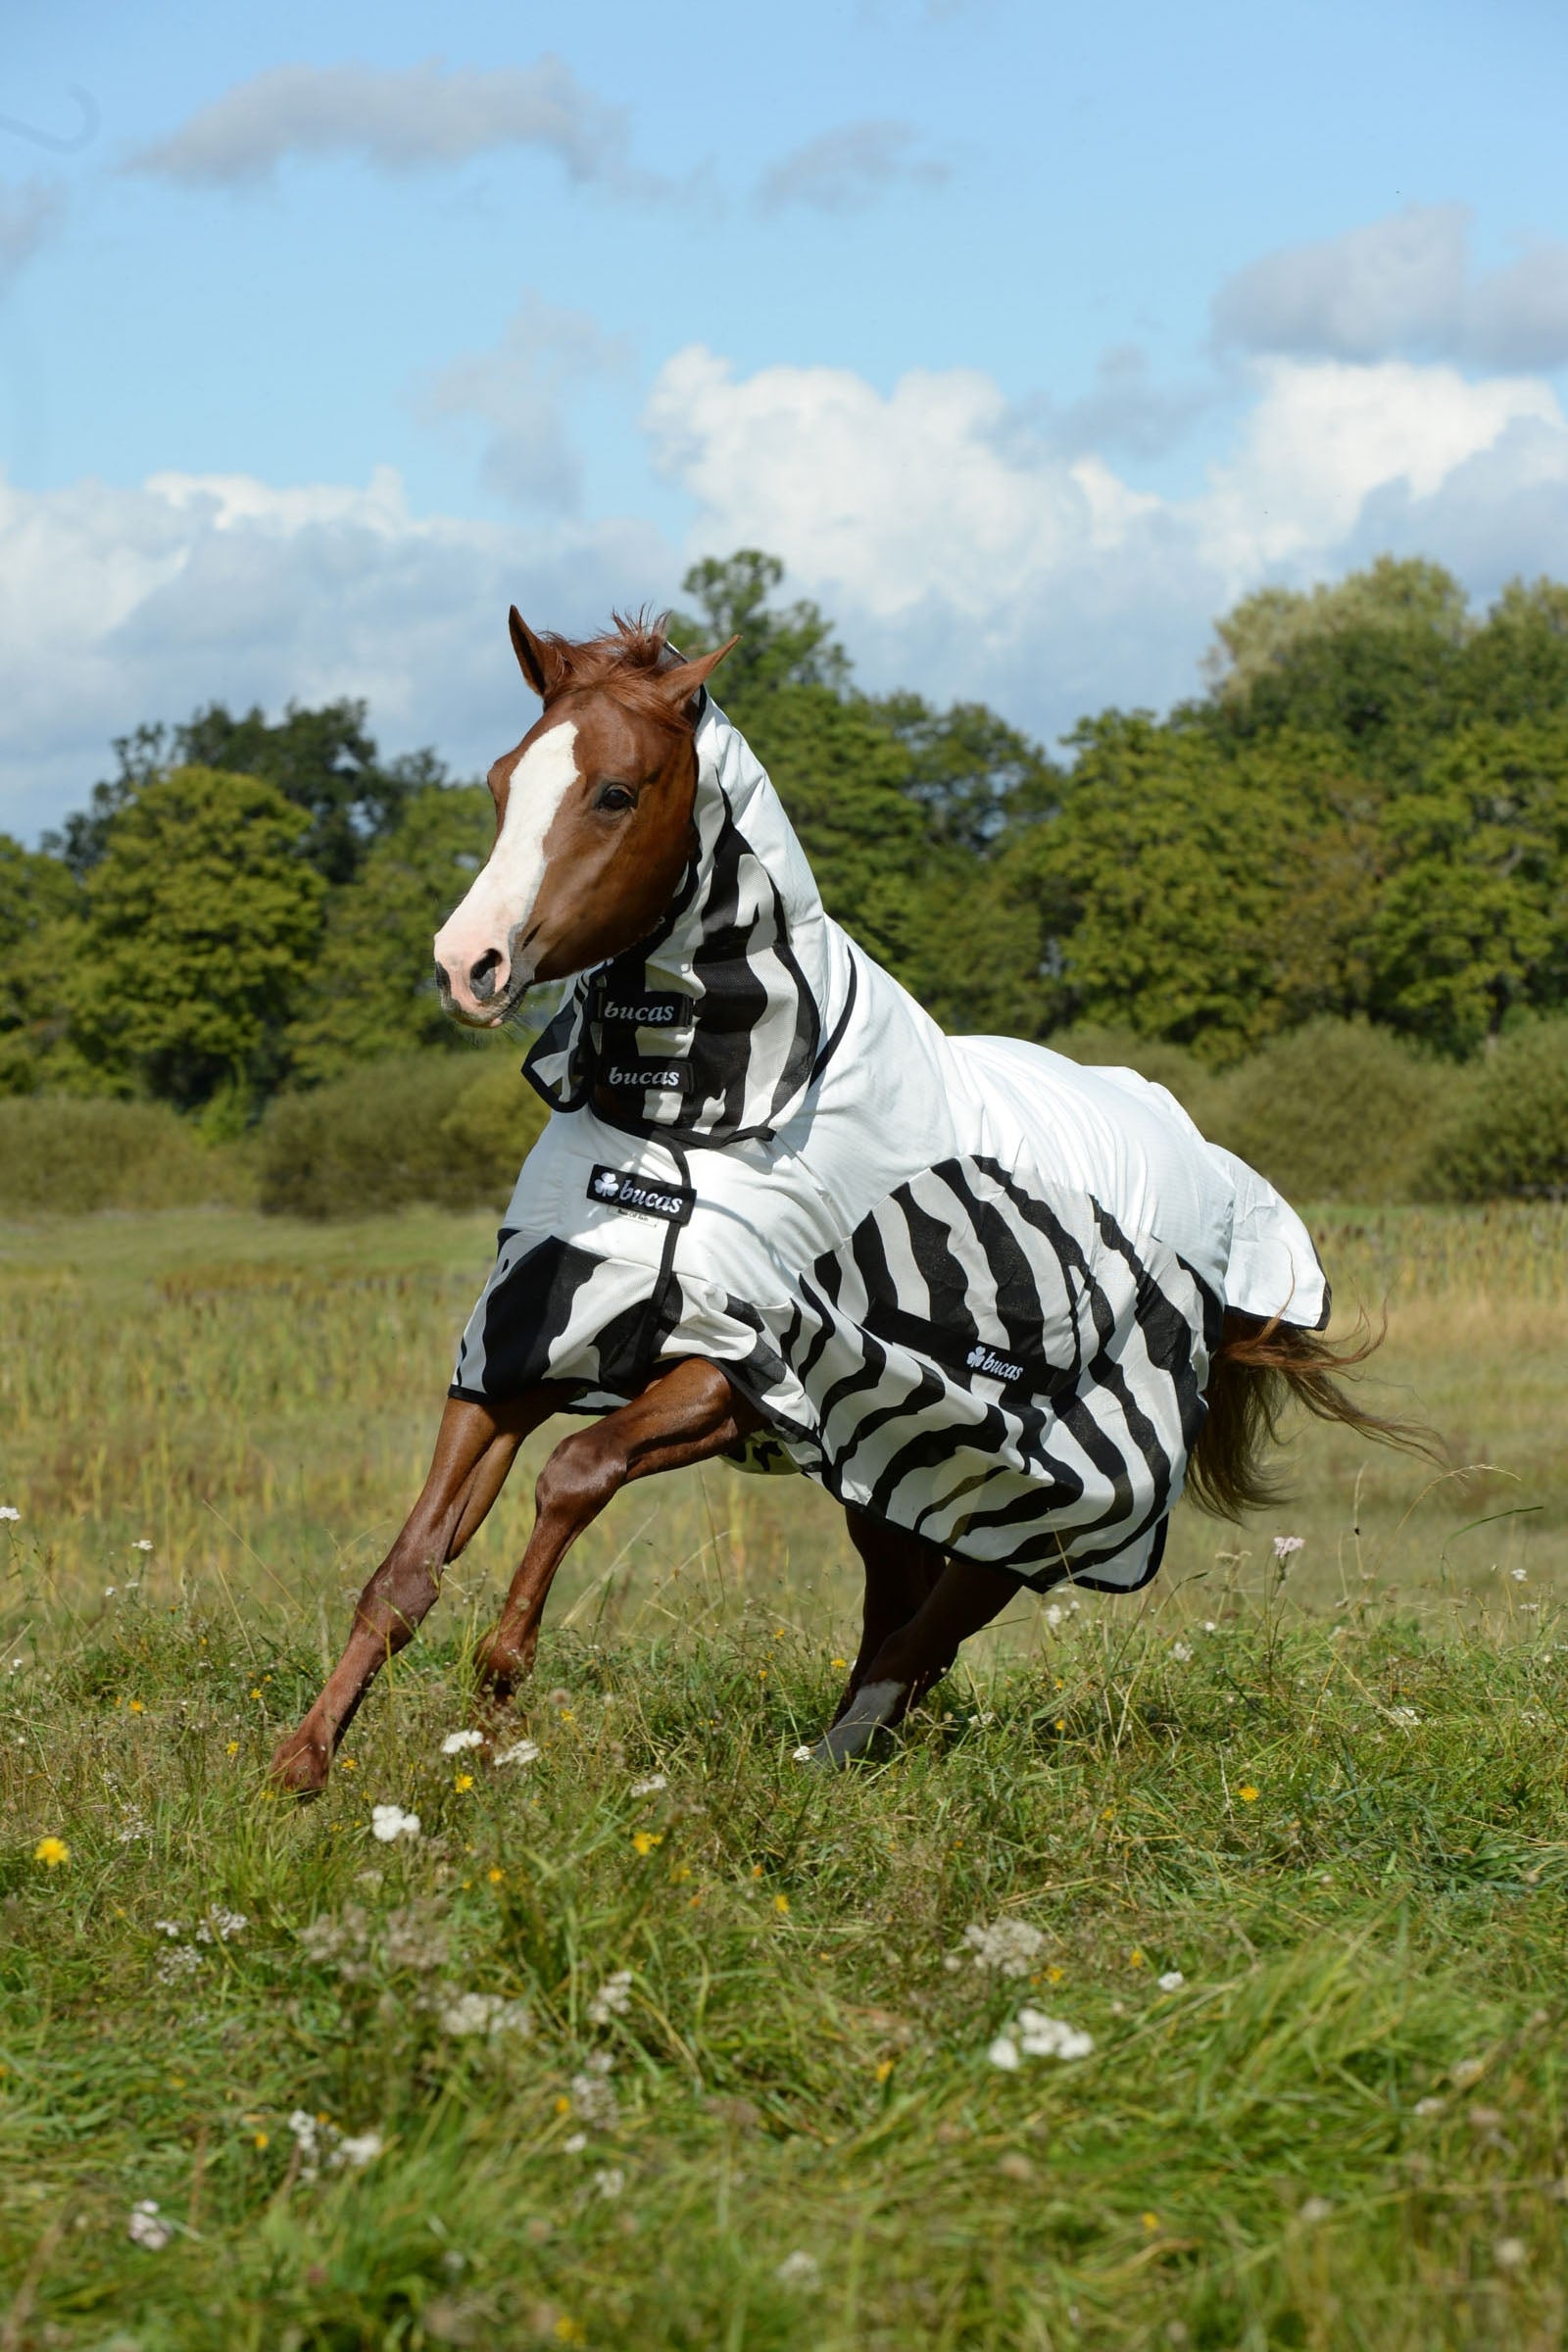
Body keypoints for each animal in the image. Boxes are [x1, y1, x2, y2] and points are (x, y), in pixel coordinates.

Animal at [271, 610, 1409, 1794]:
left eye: (615, 792)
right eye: (503, 782)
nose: (469, 965)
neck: (692, 1117)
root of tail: (1214, 1171)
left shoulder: (747, 1363)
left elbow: (576, 1472)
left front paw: (498, 1685)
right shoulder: (527, 1337)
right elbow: (410, 1564)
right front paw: (302, 1763)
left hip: (1041, 1469)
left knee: (952, 1612)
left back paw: (833, 1754)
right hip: (905, 1459)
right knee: (904, 1603)